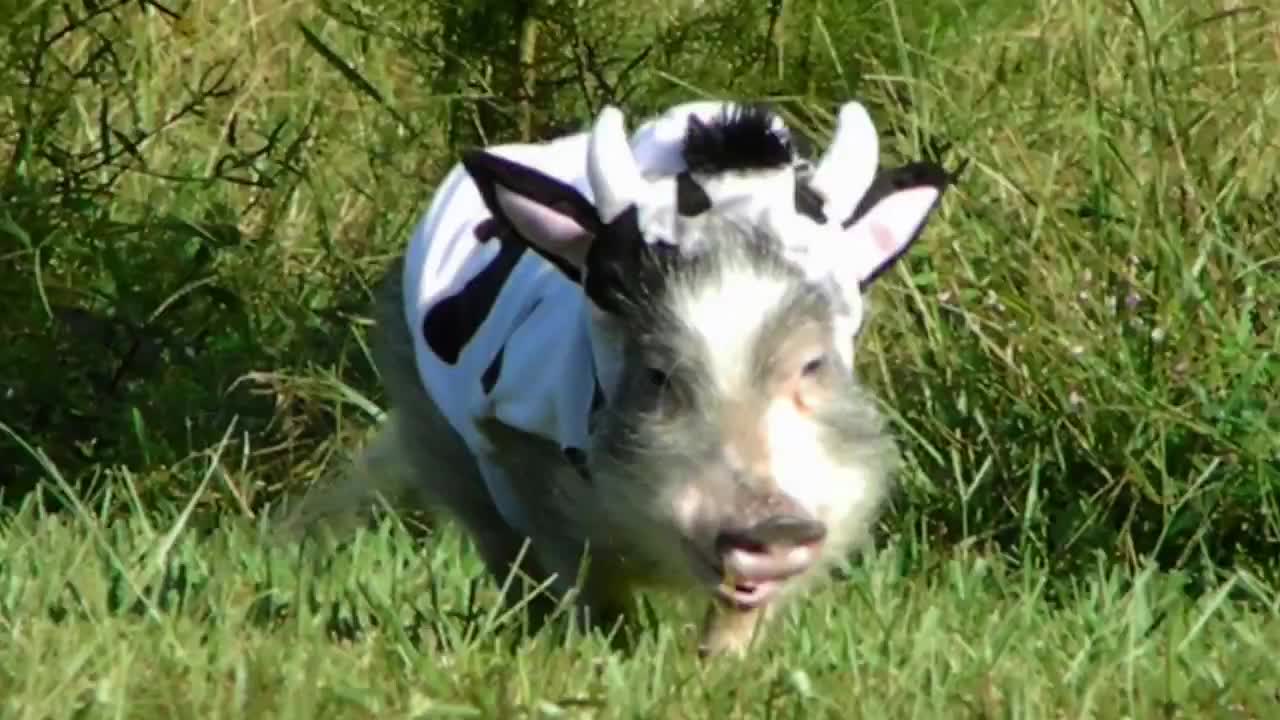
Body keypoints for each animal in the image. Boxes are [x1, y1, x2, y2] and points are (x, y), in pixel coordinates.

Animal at [288, 98, 952, 653]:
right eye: (658, 375)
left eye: (812, 365)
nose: (773, 521)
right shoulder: (517, 452)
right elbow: (581, 577)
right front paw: (609, 649)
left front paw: (722, 665)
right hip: (434, 428)